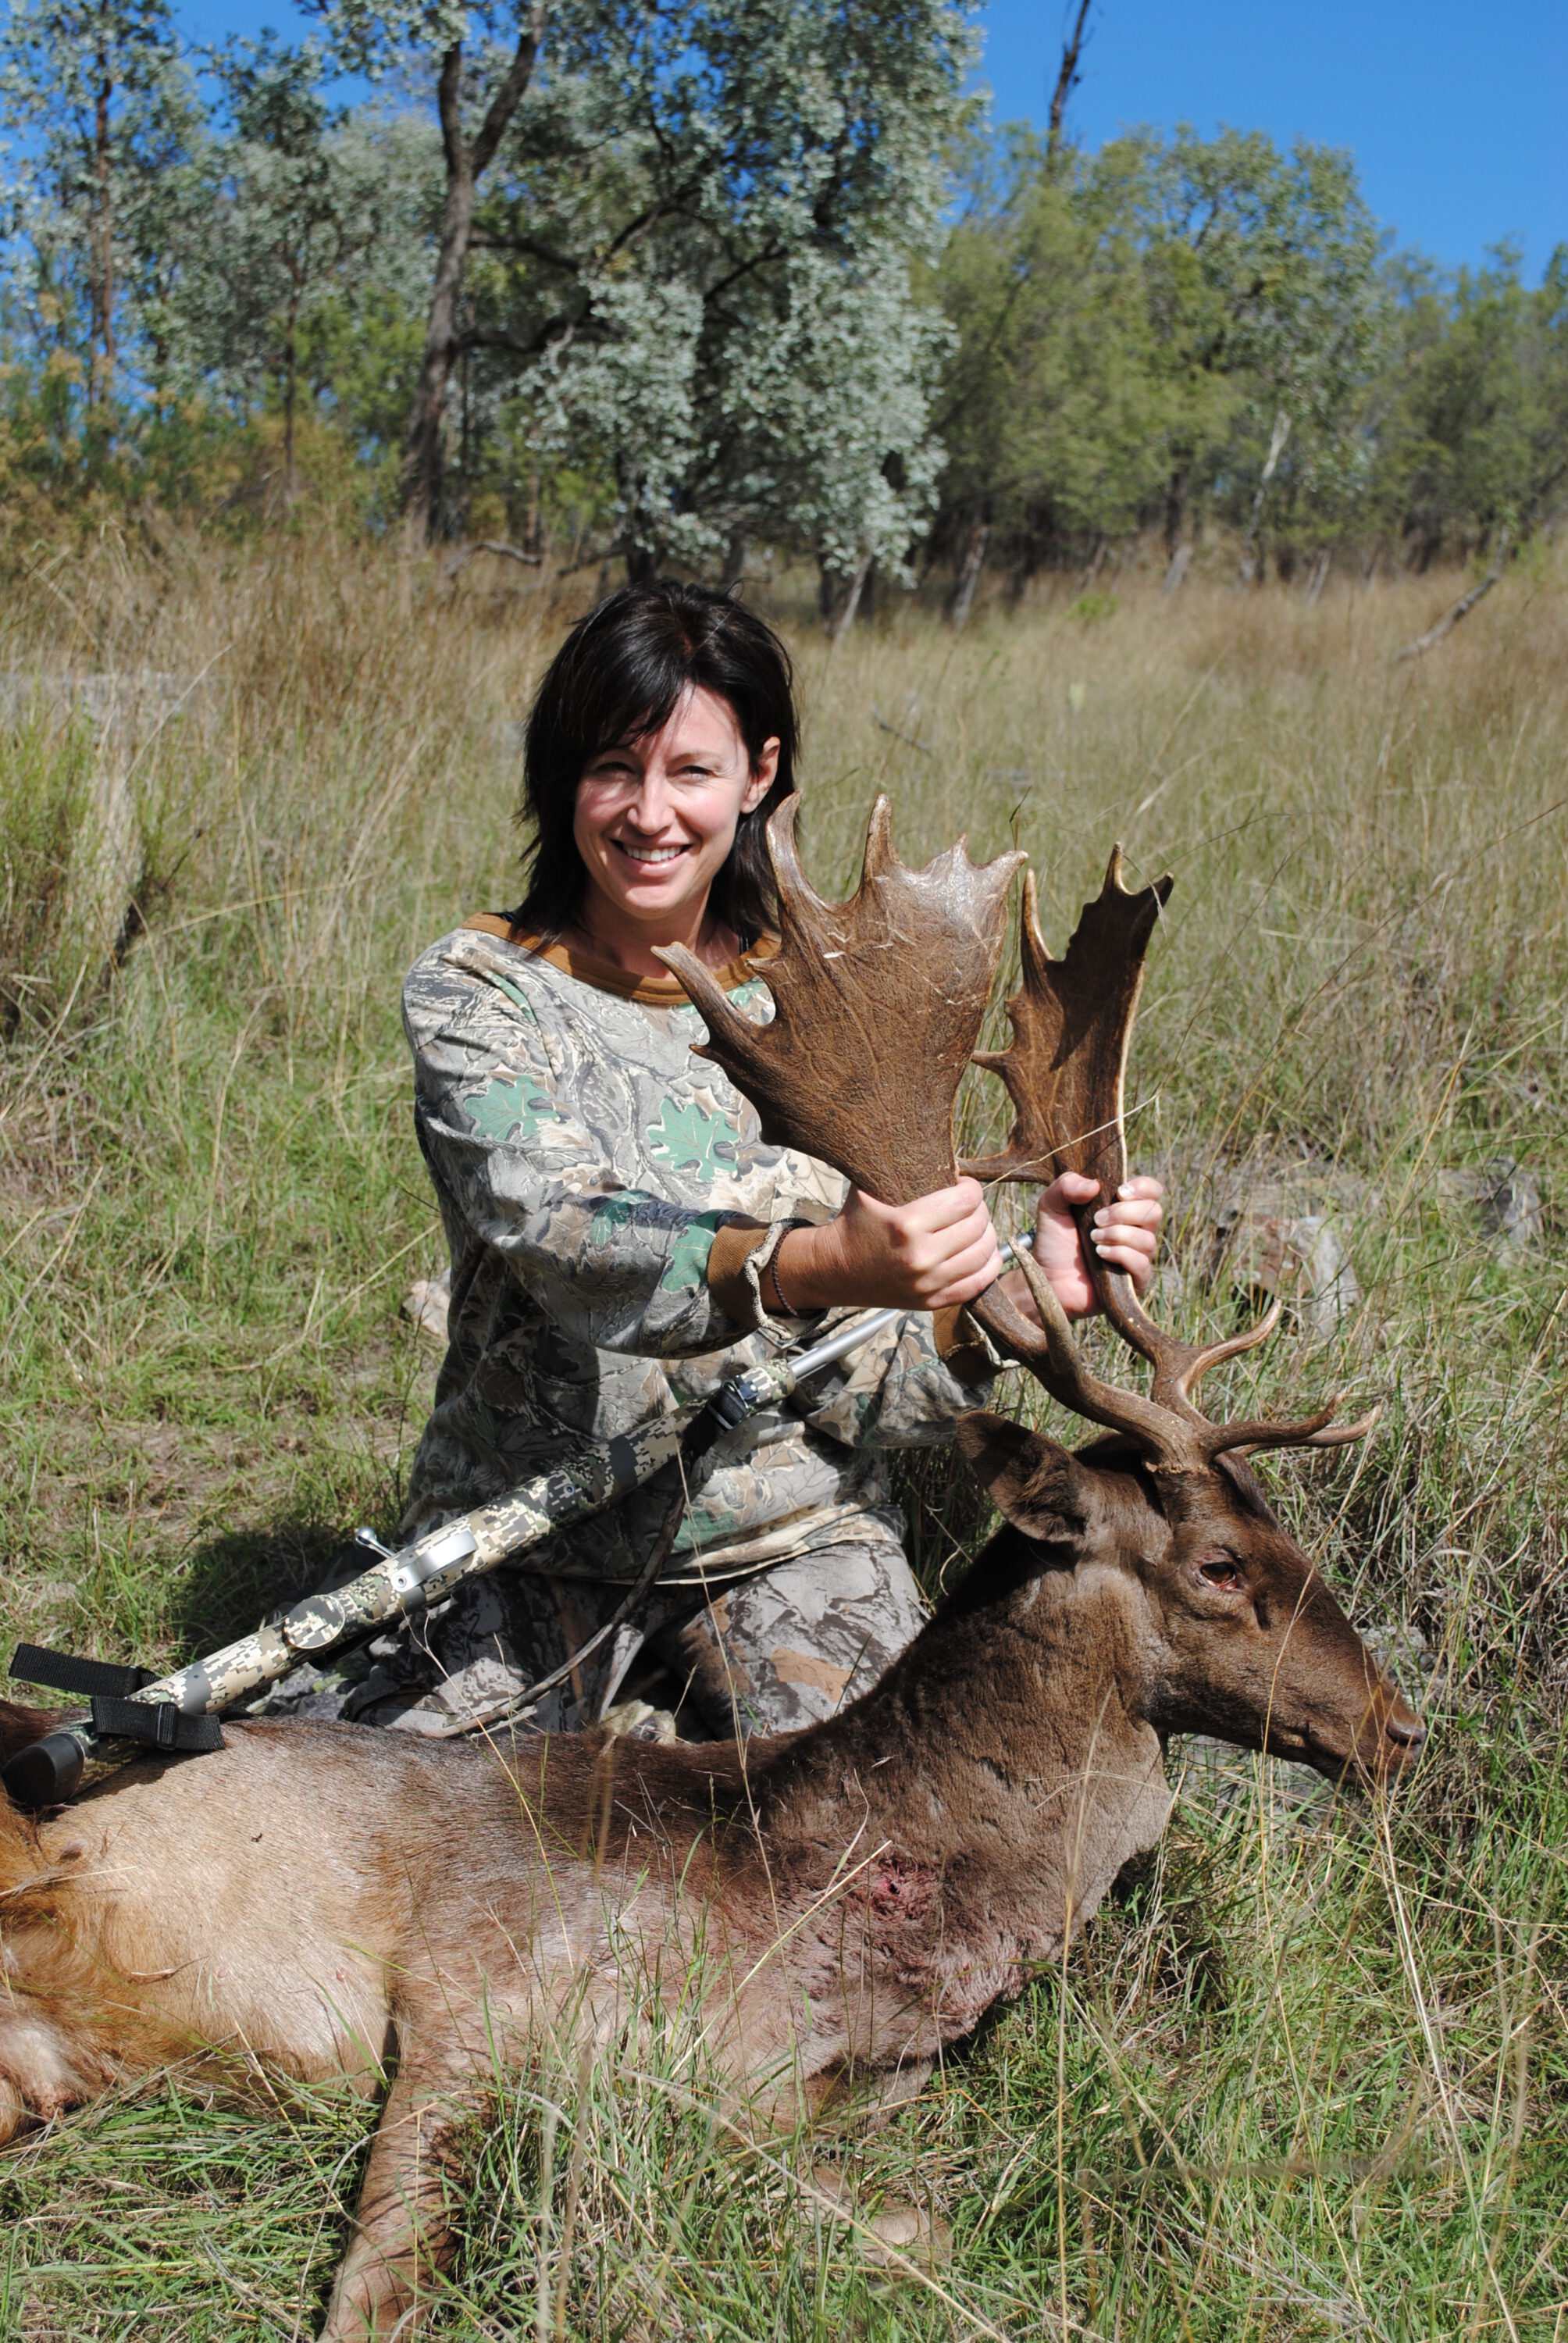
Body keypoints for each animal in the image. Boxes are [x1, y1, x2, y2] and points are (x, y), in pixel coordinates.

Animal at [0, 801, 1415, 2324]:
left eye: (1288, 1530)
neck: (813, 1915)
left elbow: (911, 2219)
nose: (1396, 1727)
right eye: (1217, 1564)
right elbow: (381, 2282)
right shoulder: (472, 1990)